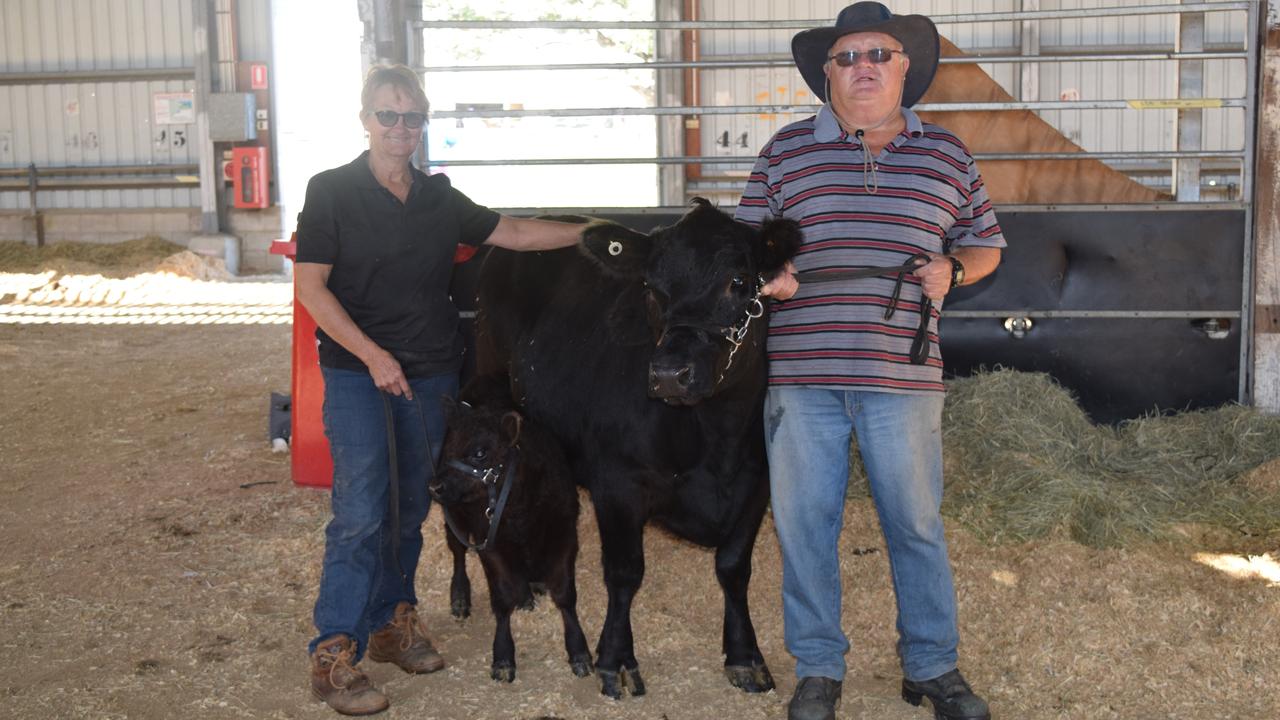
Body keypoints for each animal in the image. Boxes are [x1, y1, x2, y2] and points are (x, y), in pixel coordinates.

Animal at [430, 371, 588, 681]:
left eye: (480, 453)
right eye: (449, 446)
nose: (435, 485)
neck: (519, 511)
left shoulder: (565, 534)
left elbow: (565, 593)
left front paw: (579, 651)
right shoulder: (488, 541)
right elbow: (502, 597)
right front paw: (503, 656)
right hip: (454, 513)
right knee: (457, 551)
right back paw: (460, 597)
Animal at [476, 197, 798, 696]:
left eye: (739, 282)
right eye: (650, 286)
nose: (668, 374)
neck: (715, 437)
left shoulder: (757, 482)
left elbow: (733, 567)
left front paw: (746, 656)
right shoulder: (619, 484)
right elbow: (625, 573)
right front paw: (616, 660)